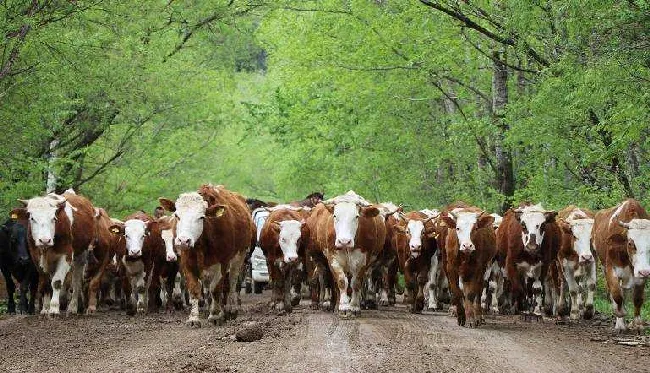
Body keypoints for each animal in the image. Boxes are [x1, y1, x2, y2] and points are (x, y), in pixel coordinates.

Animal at [158, 184, 254, 326]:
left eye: (201, 217)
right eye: (177, 215)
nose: (184, 240)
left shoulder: (222, 263)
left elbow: (216, 289)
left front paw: (215, 315)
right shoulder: (187, 263)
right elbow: (194, 289)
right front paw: (193, 318)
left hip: (239, 257)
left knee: (232, 282)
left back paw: (231, 309)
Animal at [592, 198, 648, 332]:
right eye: (631, 243)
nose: (645, 272)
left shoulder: (641, 272)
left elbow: (638, 298)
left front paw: (637, 323)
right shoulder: (610, 268)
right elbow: (616, 294)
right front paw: (620, 313)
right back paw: (620, 324)